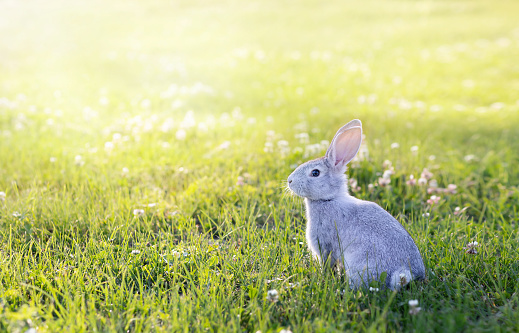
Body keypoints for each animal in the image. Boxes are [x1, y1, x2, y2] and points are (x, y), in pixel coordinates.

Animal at [288, 118, 426, 288]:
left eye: (315, 173)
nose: (289, 181)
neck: (330, 198)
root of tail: (404, 274)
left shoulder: (324, 243)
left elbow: (327, 263)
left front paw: (323, 276)